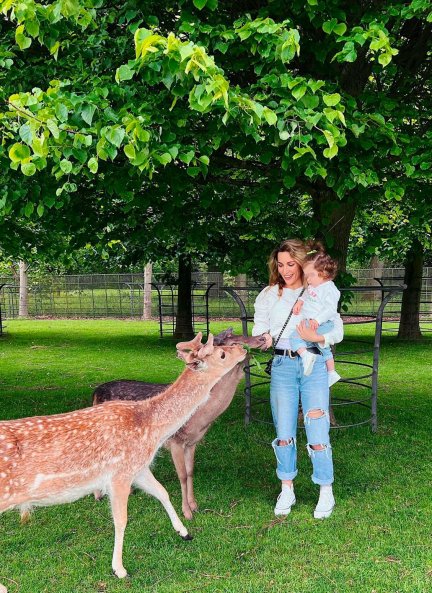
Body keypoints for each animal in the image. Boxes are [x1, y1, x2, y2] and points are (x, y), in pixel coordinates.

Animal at [0, 332, 246, 584]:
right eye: (222, 353)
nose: (243, 350)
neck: (151, 429)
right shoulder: (120, 473)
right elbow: (121, 520)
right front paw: (119, 569)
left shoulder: (139, 468)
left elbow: (163, 492)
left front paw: (184, 532)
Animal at [92, 328, 266, 520]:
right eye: (229, 344)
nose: (262, 338)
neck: (199, 418)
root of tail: (96, 391)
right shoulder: (175, 440)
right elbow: (181, 475)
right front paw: (186, 512)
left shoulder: (192, 442)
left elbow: (190, 472)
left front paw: (194, 505)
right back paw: (98, 495)